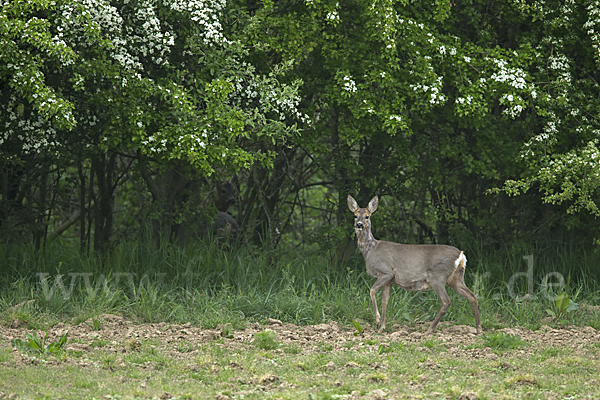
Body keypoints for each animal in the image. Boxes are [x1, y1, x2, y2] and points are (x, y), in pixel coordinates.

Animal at [346, 195, 482, 334]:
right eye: (355, 215)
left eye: (367, 216)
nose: (359, 224)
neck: (370, 249)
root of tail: (461, 255)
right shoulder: (389, 281)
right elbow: (385, 302)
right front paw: (382, 327)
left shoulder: (386, 272)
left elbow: (372, 290)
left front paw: (378, 322)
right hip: (455, 277)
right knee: (472, 296)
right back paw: (478, 329)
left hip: (437, 276)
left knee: (446, 301)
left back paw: (429, 330)